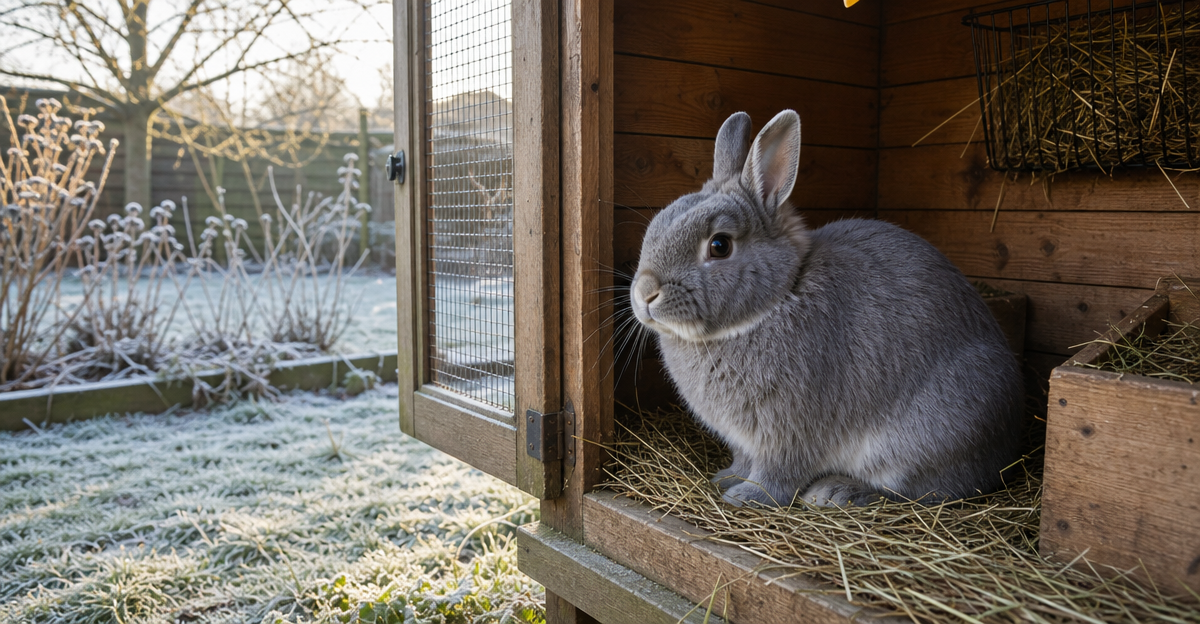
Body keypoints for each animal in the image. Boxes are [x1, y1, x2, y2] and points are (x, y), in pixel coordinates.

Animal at [629, 110, 1024, 508]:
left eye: (720, 245)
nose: (645, 293)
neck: (777, 299)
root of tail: (1008, 448)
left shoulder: (789, 431)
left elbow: (778, 473)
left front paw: (746, 496)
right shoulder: (746, 441)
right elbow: (743, 460)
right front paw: (726, 478)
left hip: (926, 436)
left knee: (920, 491)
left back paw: (835, 491)